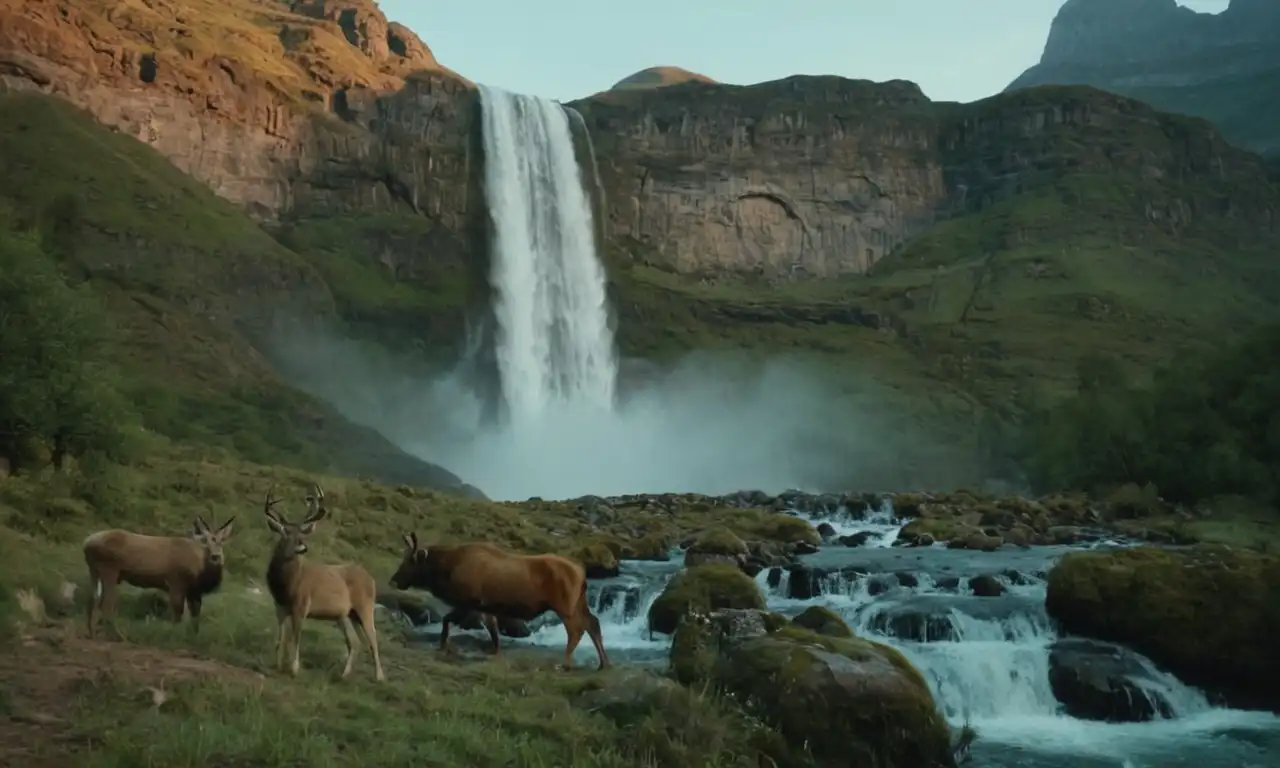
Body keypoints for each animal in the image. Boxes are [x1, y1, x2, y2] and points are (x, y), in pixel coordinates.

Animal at [82, 517, 235, 642]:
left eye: (222, 541)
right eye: (205, 541)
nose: (216, 556)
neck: (200, 573)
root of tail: (86, 543)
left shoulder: (194, 592)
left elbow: (195, 618)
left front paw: (192, 638)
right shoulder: (176, 584)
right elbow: (177, 615)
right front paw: (176, 638)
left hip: (94, 571)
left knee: (92, 598)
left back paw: (92, 633)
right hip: (109, 570)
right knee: (106, 604)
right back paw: (119, 636)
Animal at [257, 483, 381, 680]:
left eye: (301, 535)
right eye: (285, 534)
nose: (302, 547)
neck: (287, 585)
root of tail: (371, 578)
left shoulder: (302, 604)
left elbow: (296, 637)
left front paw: (294, 668)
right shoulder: (279, 605)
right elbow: (281, 637)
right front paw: (277, 665)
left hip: (365, 606)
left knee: (373, 639)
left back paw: (379, 677)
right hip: (345, 615)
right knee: (355, 642)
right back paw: (344, 675)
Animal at [389, 535, 609, 670]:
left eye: (409, 561)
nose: (393, 580)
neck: (447, 569)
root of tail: (581, 572)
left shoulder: (469, 602)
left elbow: (446, 620)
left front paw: (442, 645)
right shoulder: (485, 606)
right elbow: (493, 631)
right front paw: (494, 651)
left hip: (564, 606)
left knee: (576, 630)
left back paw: (566, 664)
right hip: (579, 603)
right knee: (593, 623)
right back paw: (603, 663)